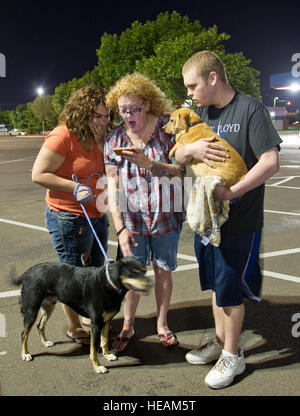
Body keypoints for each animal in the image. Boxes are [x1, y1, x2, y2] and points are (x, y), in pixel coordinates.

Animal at [11, 256, 152, 374]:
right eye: (133, 272)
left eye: (144, 271)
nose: (150, 284)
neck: (108, 284)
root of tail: (27, 273)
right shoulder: (96, 324)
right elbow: (94, 349)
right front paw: (98, 367)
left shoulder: (106, 321)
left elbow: (104, 341)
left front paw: (107, 355)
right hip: (31, 310)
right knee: (23, 334)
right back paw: (25, 354)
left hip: (49, 306)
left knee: (40, 325)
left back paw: (45, 342)